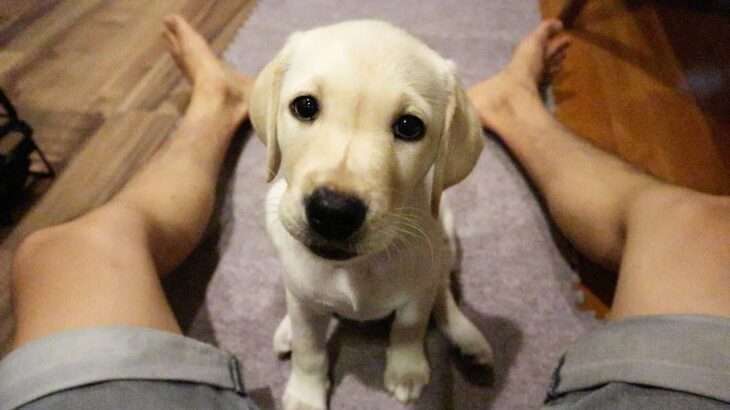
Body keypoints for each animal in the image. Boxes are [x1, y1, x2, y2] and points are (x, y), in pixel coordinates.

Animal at [249, 20, 490, 410]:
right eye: (305, 106)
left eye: (409, 126)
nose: (334, 212)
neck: (356, 267)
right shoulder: (305, 303)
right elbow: (309, 349)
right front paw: (305, 394)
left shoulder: (417, 291)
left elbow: (409, 327)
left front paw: (406, 370)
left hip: (447, 238)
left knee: (442, 286)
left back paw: (466, 336)